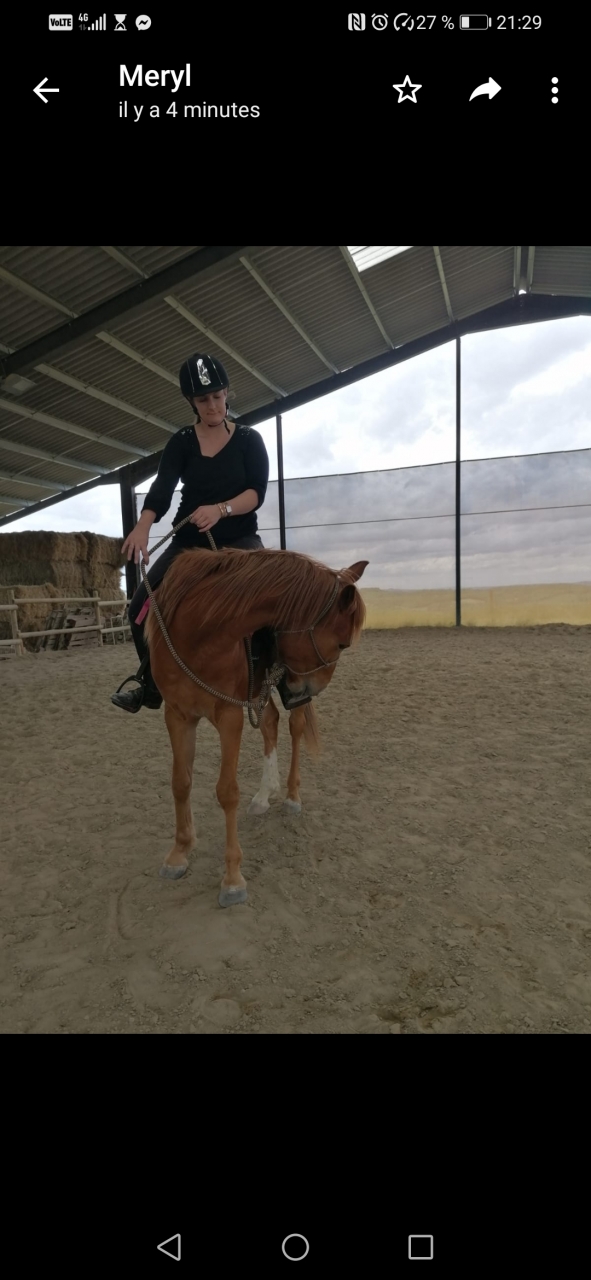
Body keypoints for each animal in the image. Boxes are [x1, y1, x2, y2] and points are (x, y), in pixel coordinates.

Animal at [144, 546, 368, 907]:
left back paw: (291, 795)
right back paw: (264, 795)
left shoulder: (230, 716)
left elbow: (227, 792)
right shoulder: (177, 715)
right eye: (341, 644)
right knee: (272, 722)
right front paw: (179, 853)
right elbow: (181, 782)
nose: (310, 690)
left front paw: (233, 879)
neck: (199, 634)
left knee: (294, 727)